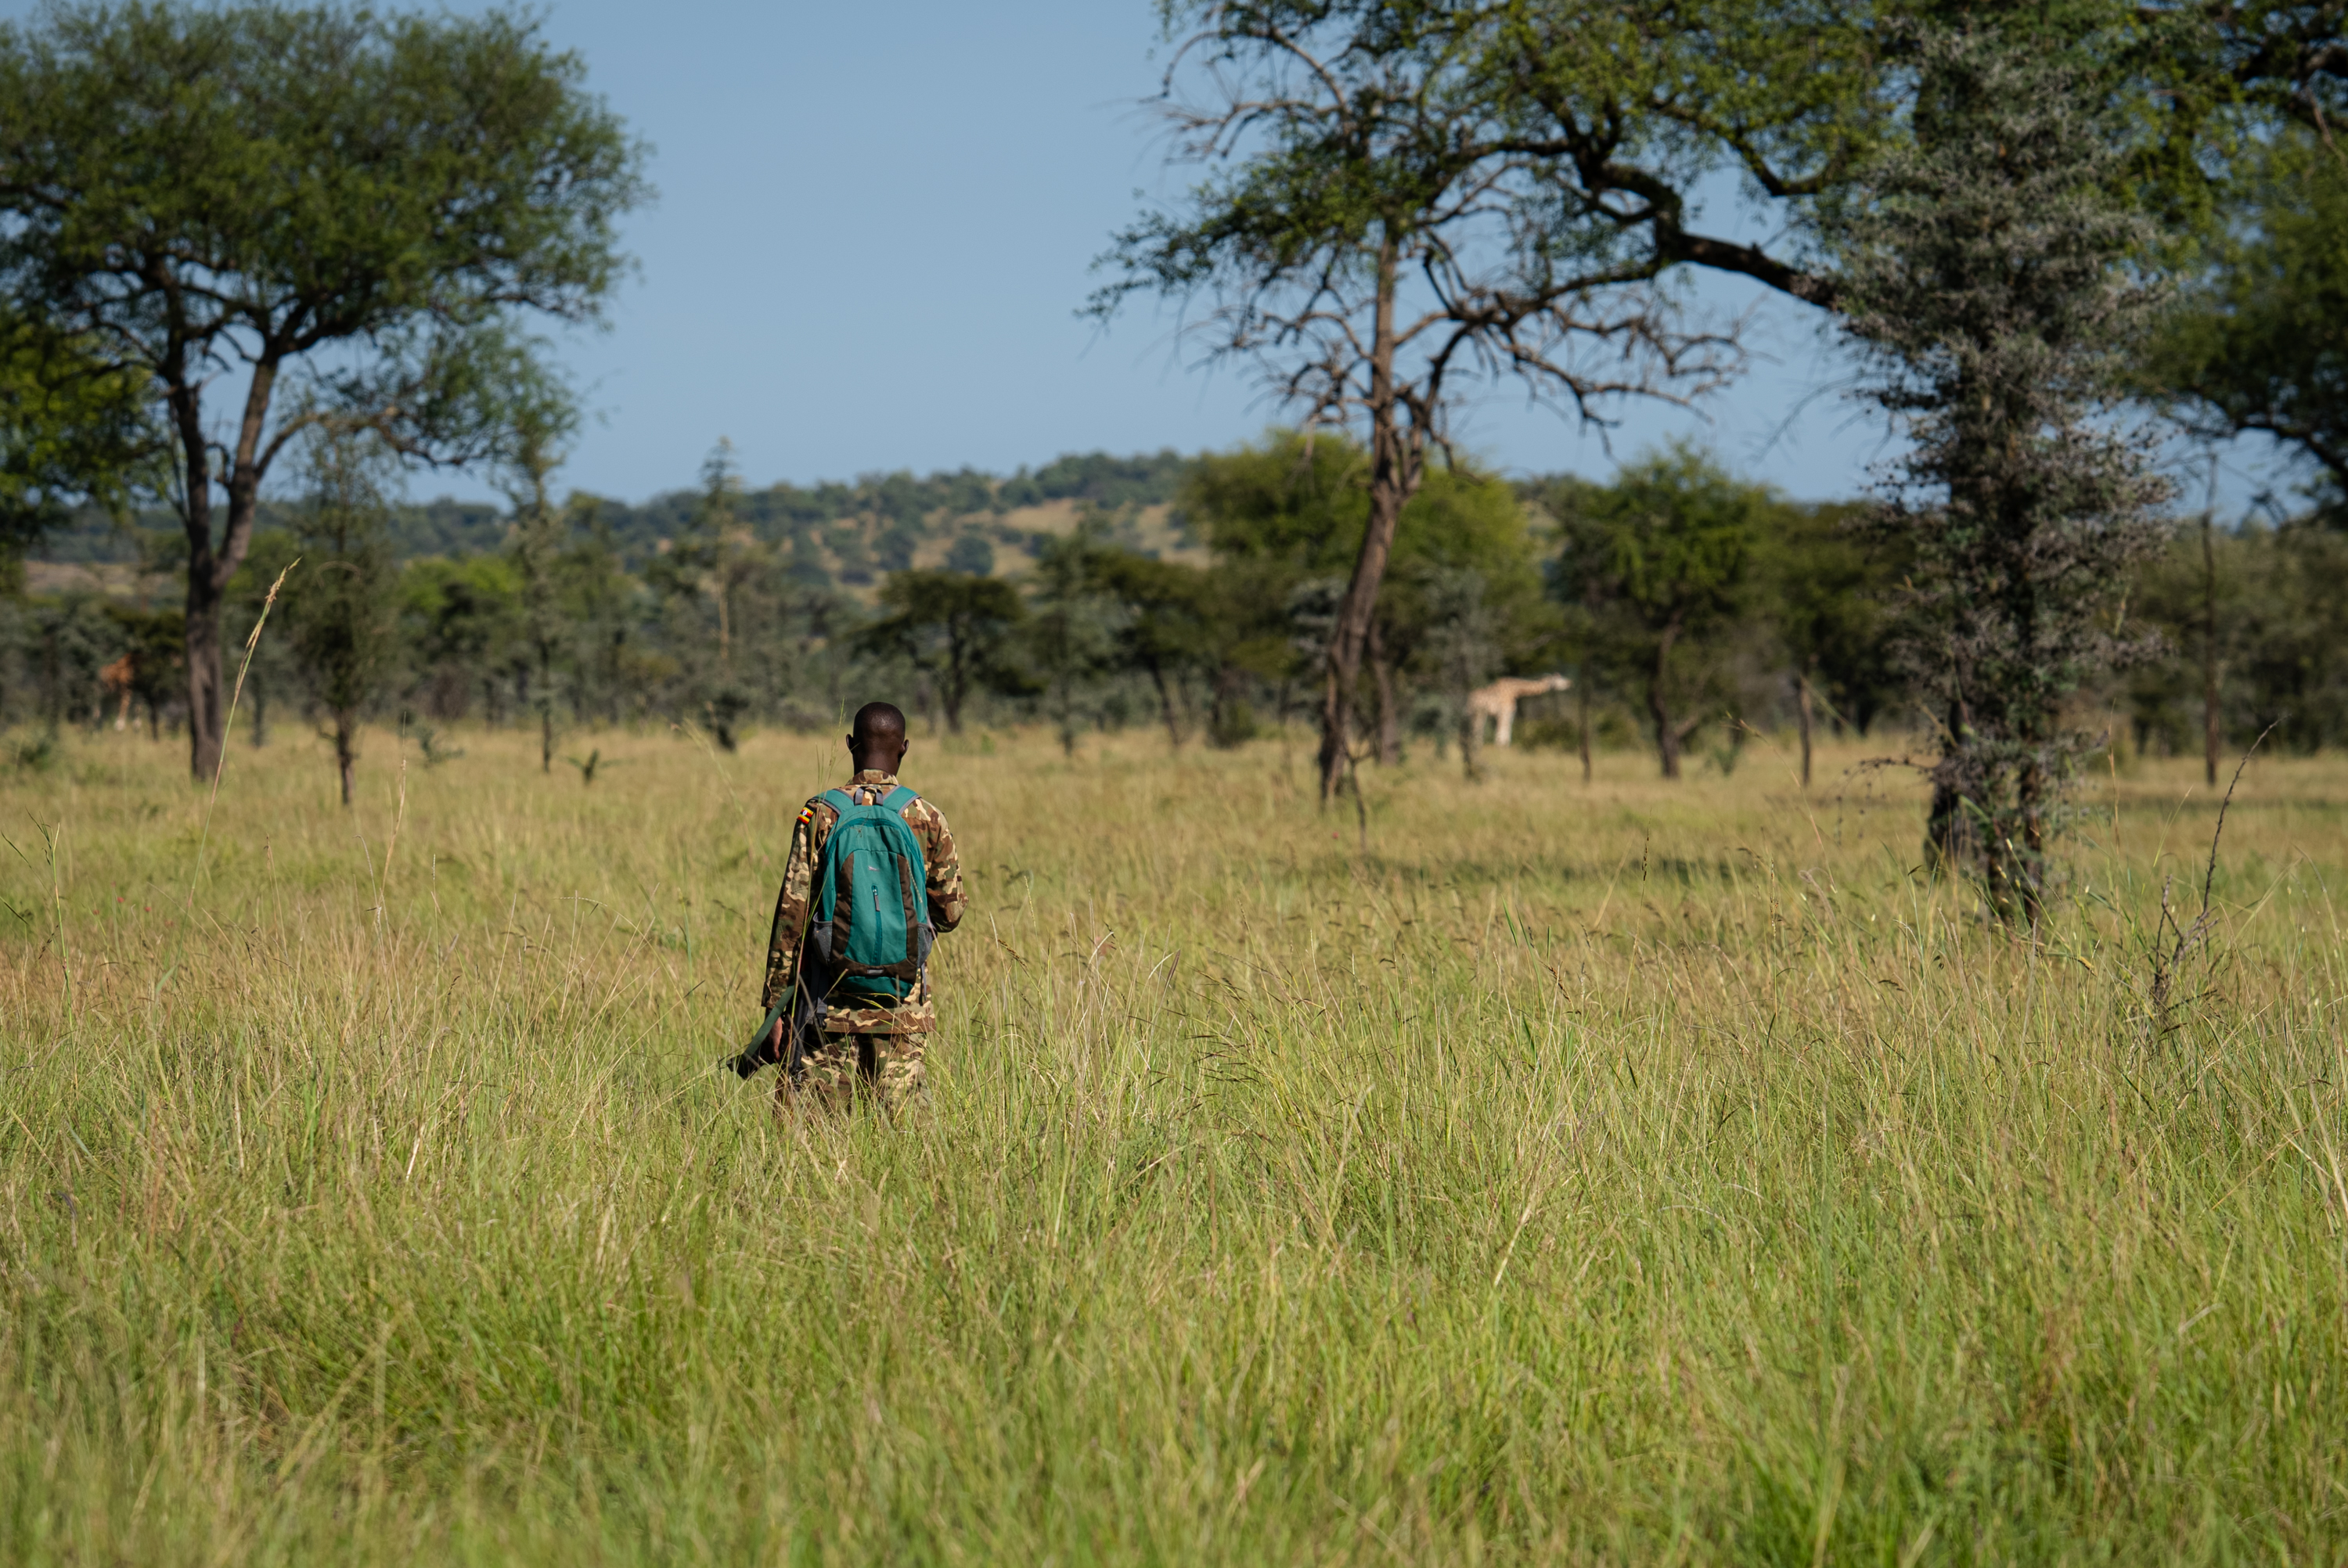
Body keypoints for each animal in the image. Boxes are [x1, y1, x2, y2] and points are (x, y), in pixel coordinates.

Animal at [1467, 673, 1570, 747]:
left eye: (1562, 677)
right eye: (1559, 679)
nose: (1570, 683)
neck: (1516, 691)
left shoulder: (1510, 713)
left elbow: (1508, 728)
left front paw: (1504, 746)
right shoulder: (1505, 712)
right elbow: (1503, 729)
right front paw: (1501, 746)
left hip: (1477, 713)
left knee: (1475, 728)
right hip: (1477, 713)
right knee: (1477, 728)